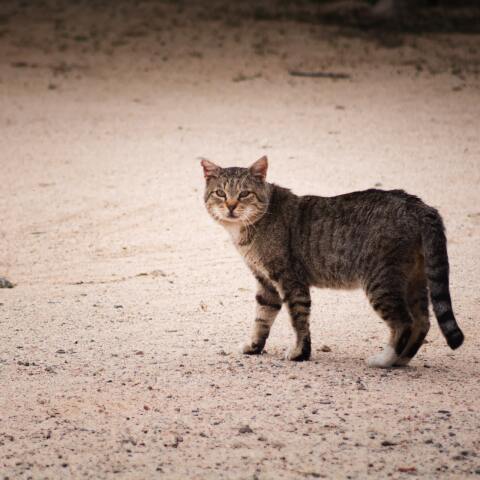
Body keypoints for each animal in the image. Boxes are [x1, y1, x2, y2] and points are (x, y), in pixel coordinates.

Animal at [201, 156, 464, 367]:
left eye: (244, 193)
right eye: (220, 193)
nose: (231, 206)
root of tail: (420, 206)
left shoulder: (290, 281)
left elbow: (299, 320)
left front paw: (299, 353)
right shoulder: (266, 283)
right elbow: (261, 318)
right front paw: (254, 347)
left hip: (381, 282)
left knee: (405, 323)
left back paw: (385, 360)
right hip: (413, 280)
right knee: (422, 322)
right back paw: (400, 360)